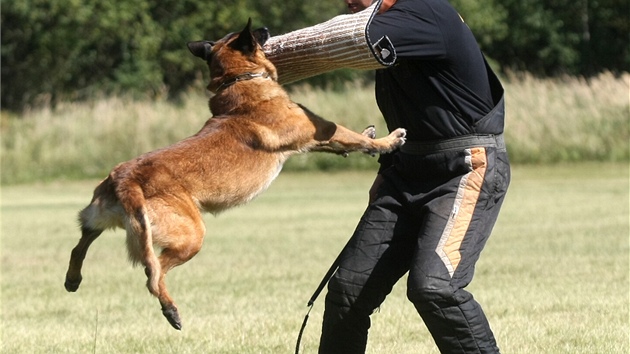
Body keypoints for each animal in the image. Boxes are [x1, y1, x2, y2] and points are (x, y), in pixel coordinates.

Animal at [64, 18, 410, 330]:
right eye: (254, 34)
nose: (267, 28)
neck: (238, 79)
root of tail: (125, 179)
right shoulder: (316, 130)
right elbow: (347, 134)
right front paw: (387, 141)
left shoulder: (311, 139)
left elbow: (343, 142)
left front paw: (370, 138)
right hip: (190, 236)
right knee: (153, 274)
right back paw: (171, 311)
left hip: (100, 218)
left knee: (79, 245)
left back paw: (72, 279)